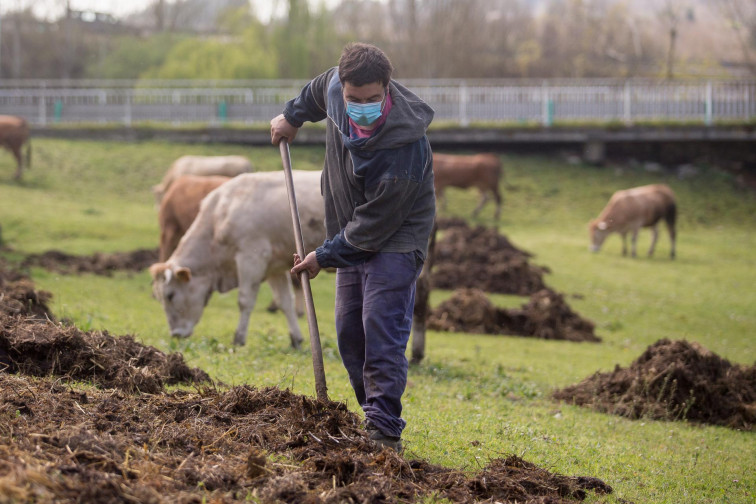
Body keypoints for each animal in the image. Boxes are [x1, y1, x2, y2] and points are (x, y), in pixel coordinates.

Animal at [149, 169, 324, 346]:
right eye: (158, 298)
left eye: (170, 295)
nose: (175, 334)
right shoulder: (274, 266)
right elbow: (285, 301)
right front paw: (296, 339)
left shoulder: (251, 257)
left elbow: (245, 300)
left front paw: (239, 338)